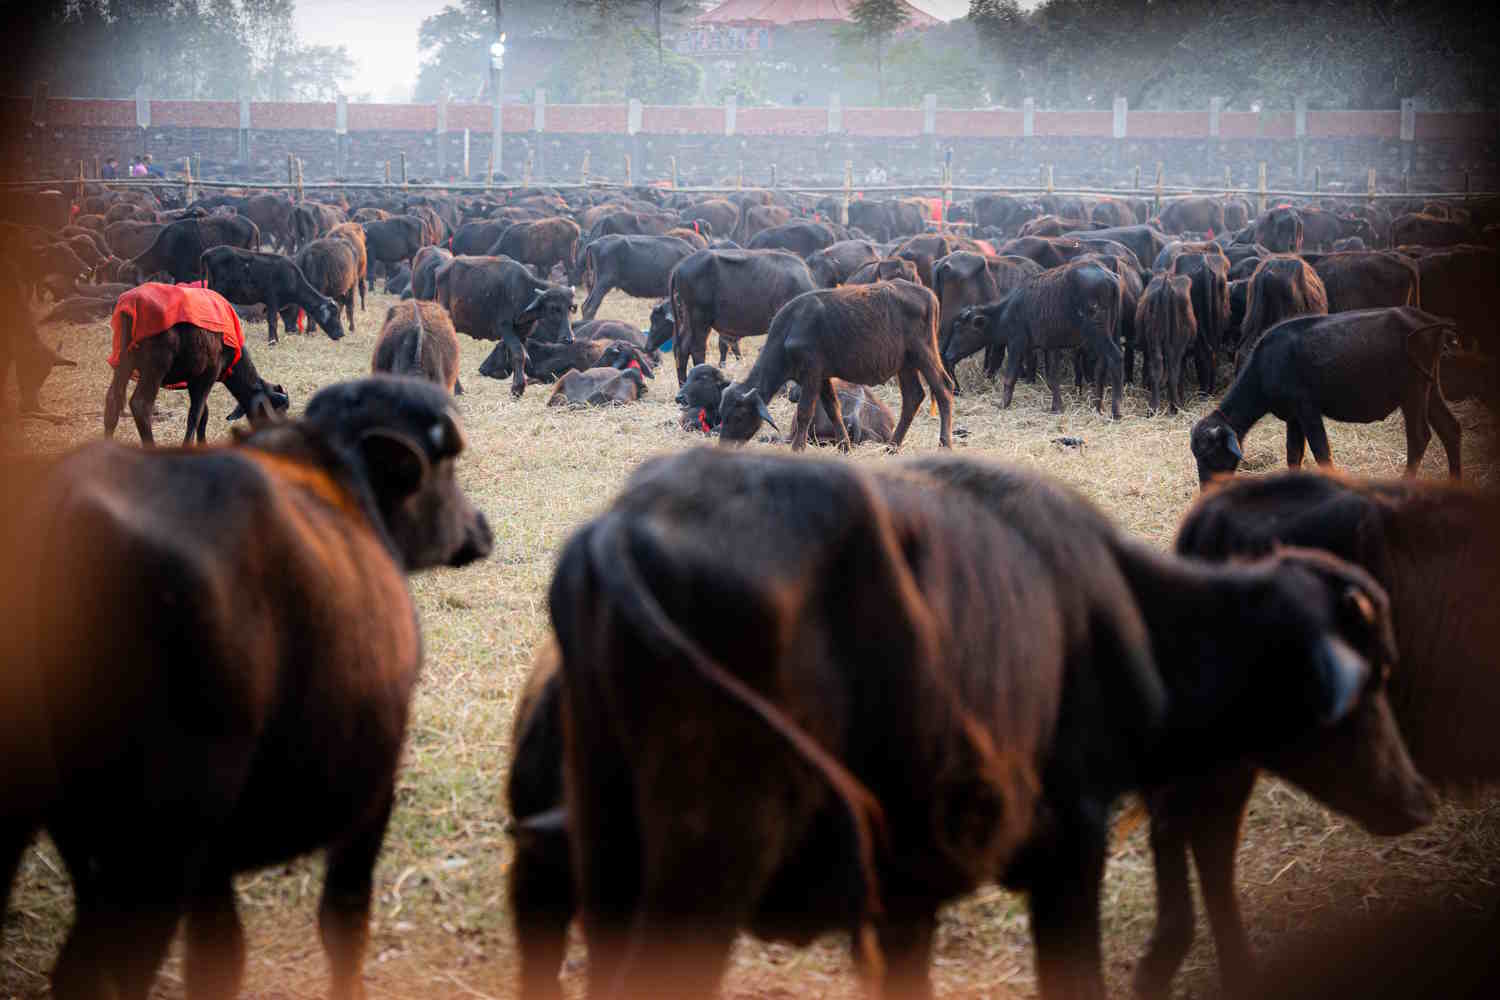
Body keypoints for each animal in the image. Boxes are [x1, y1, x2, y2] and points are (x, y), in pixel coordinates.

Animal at [1, 374, 492, 1000]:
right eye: (448, 467)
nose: (481, 528)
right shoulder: (372, 797)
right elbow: (343, 923)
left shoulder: (211, 866)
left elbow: (219, 957)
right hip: (159, 845)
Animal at [103, 281, 289, 446]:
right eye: (277, 409)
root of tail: (132, 305)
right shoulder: (207, 376)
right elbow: (195, 415)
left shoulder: (195, 381)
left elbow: (203, 415)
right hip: (154, 367)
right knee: (141, 405)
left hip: (123, 363)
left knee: (112, 400)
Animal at [714, 277, 948, 449]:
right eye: (722, 413)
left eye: (739, 415)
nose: (724, 445)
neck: (791, 329)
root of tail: (928, 295)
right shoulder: (824, 377)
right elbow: (833, 410)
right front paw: (845, 446)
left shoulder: (811, 374)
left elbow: (804, 412)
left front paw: (797, 448)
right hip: (906, 363)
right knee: (913, 397)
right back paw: (892, 447)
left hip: (924, 353)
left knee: (943, 389)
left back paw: (944, 444)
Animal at [1188, 308, 1458, 488]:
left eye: (1209, 453)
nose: (1207, 489)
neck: (1266, 365)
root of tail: (1429, 321)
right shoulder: (1293, 418)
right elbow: (1293, 455)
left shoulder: (1307, 410)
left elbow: (1321, 453)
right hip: (1430, 390)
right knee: (1450, 427)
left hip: (1413, 393)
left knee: (1419, 437)